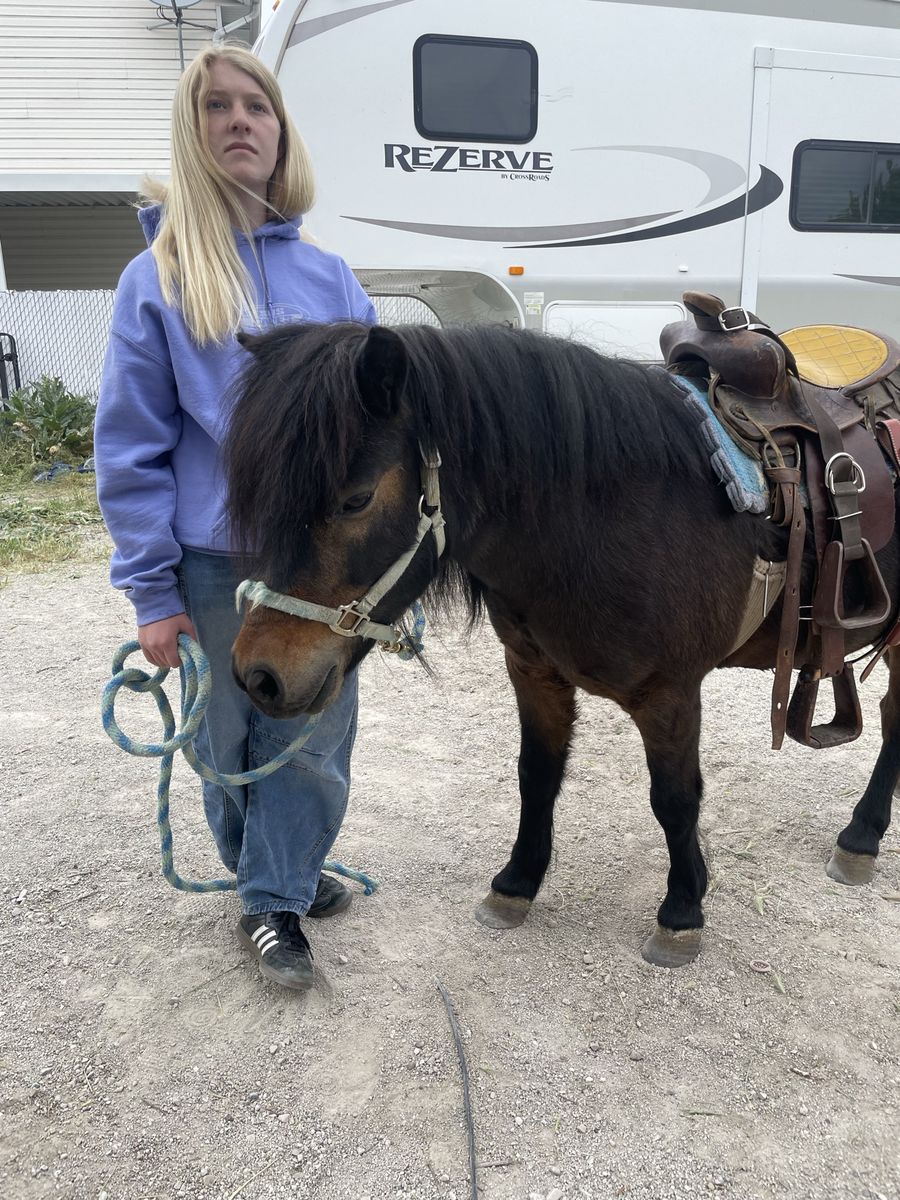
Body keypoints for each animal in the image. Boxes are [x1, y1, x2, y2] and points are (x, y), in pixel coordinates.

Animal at [223, 320, 900, 967]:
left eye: (357, 499)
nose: (259, 676)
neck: (609, 517)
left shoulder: (671, 695)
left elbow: (675, 800)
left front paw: (682, 912)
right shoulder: (534, 674)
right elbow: (537, 774)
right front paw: (517, 883)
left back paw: (860, 838)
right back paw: (862, 838)